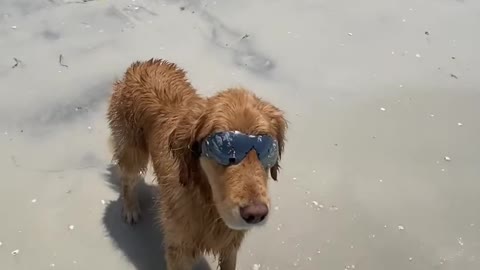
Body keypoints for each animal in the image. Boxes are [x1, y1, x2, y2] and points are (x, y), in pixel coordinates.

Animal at [107, 59, 286, 270]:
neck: (206, 200)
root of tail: (141, 64)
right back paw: (131, 209)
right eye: (224, 148)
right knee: (128, 179)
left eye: (267, 149)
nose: (256, 214)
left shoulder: (230, 246)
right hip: (132, 151)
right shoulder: (179, 250)